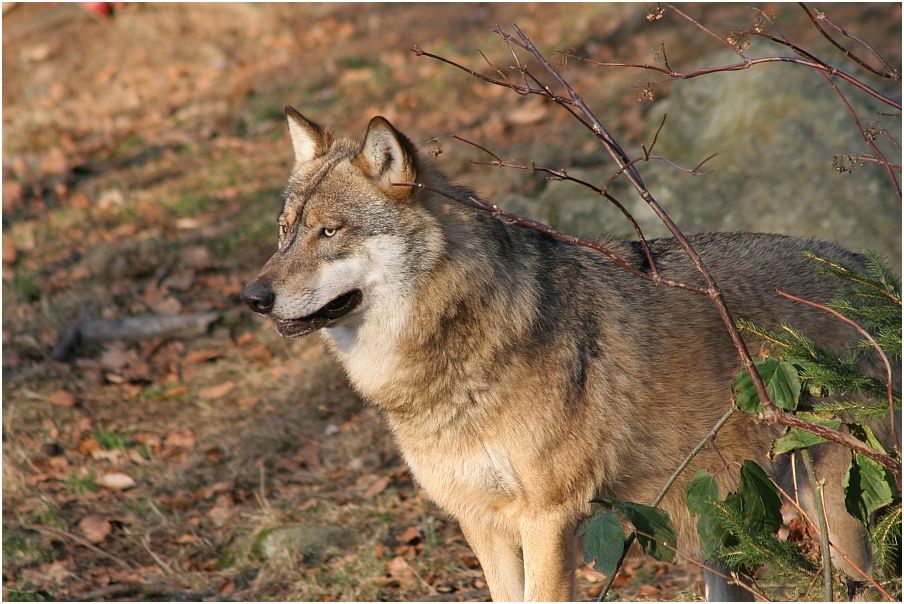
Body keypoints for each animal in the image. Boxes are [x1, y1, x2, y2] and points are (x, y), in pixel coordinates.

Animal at [242, 108, 888, 600]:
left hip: (838, 524)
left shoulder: (548, 517)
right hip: (717, 534)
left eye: (330, 232)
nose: (252, 296)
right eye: (284, 230)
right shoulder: (481, 522)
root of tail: (865, 269)